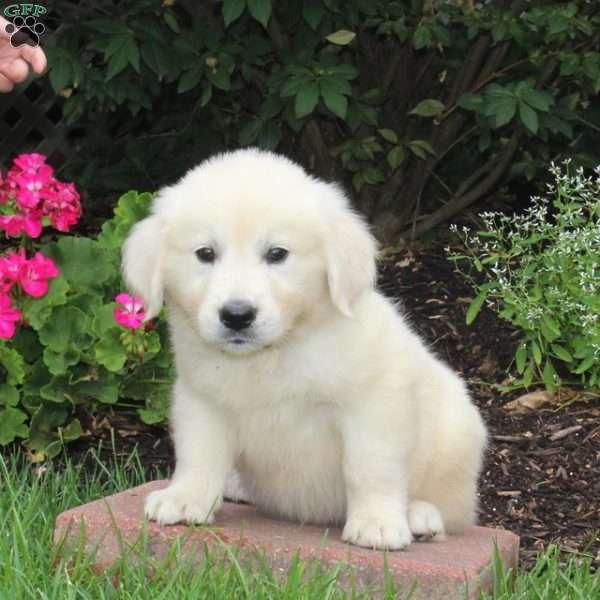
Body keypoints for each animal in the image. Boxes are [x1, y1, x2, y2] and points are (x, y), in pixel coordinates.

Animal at [123, 149, 488, 548]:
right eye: (205, 253)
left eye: (277, 254)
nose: (237, 315)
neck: (276, 350)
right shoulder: (202, 399)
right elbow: (198, 454)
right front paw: (185, 498)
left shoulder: (375, 403)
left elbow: (370, 467)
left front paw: (376, 523)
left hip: (456, 436)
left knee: (453, 511)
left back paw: (420, 516)